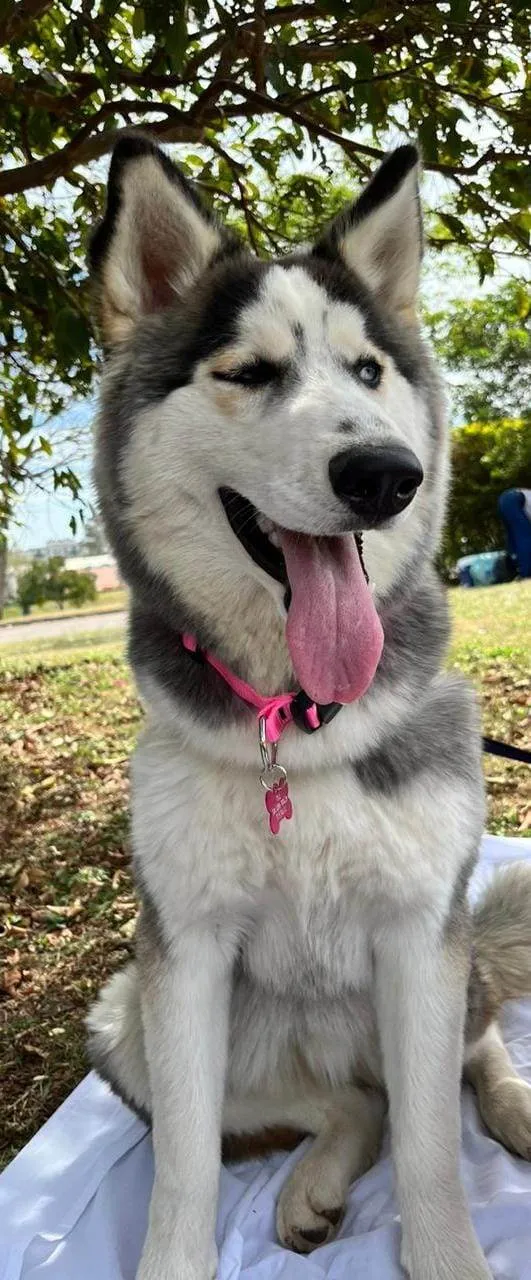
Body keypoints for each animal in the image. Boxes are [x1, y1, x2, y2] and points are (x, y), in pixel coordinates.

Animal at [87, 132, 531, 1280]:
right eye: (249, 373)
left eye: (368, 371)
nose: (385, 473)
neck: (296, 722)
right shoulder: (183, 956)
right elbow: (184, 1171)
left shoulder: (421, 932)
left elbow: (432, 1148)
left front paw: (450, 1252)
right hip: (127, 1021)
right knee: (352, 1104)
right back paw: (316, 1178)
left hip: (447, 968)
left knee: (461, 1057)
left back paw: (511, 1103)